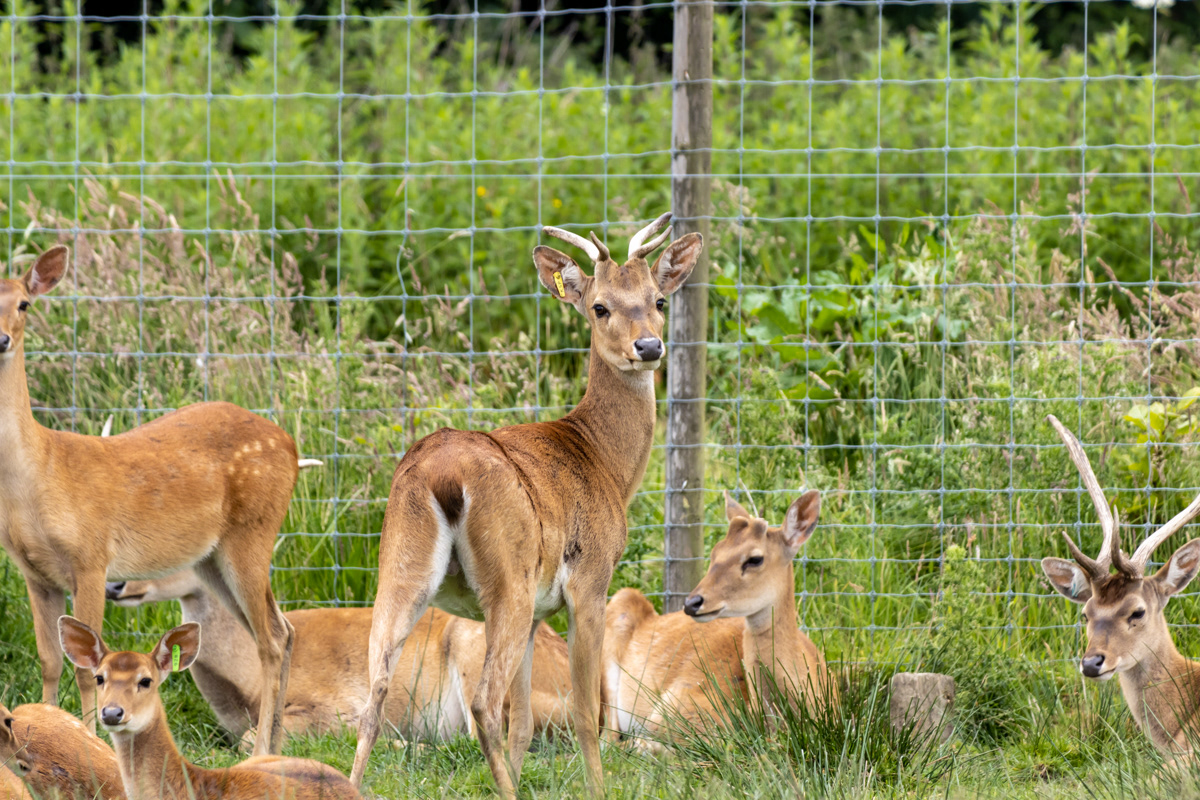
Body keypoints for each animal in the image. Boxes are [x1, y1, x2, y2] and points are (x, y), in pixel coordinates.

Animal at [0, 245, 322, 756]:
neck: (37, 477)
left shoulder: (91, 557)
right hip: (212, 558)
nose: (2, 339)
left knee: (271, 637)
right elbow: (49, 660)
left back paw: (260, 751)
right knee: (283, 628)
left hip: (253, 533)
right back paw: (273, 747)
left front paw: (91, 743)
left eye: (24, 304)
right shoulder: (34, 572)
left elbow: (86, 668)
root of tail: (290, 445)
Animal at [348, 213, 703, 797]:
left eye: (658, 299)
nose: (649, 346)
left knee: (375, 694)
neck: (605, 461)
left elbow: (524, 725)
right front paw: (598, 788)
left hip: (399, 569)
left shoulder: (539, 612)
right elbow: (584, 714)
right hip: (506, 581)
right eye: (599, 305)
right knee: (484, 703)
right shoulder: (590, 582)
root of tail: (442, 477)